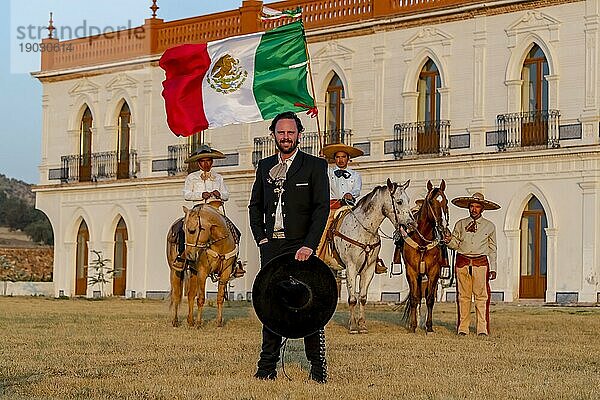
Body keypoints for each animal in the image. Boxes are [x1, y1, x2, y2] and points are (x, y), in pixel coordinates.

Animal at [326, 180, 414, 332]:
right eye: (399, 201)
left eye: (408, 200)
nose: (412, 223)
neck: (363, 230)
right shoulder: (351, 268)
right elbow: (352, 298)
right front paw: (353, 325)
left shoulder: (369, 269)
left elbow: (362, 297)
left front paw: (362, 324)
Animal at [400, 180, 448, 332]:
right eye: (431, 202)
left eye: (445, 201)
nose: (443, 226)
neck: (422, 241)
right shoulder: (411, 271)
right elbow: (414, 297)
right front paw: (413, 325)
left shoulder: (434, 271)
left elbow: (430, 298)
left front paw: (429, 326)